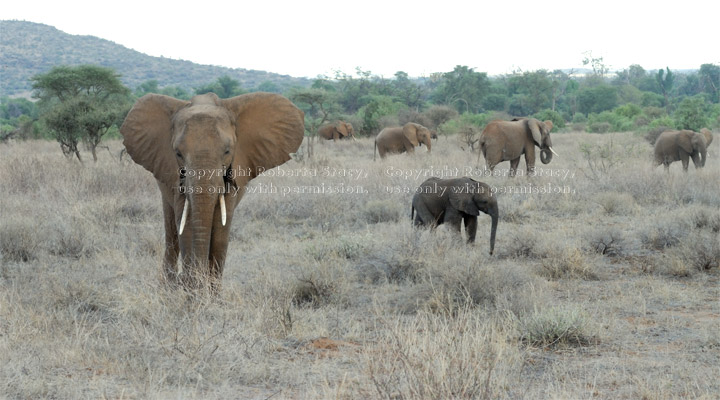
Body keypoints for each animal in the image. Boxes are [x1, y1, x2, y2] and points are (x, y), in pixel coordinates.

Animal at [120, 92, 304, 292]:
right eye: (178, 153)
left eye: (227, 151)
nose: (191, 282)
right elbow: (186, 226)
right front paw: (192, 292)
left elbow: (220, 232)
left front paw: (211, 295)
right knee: (171, 231)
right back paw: (167, 287)